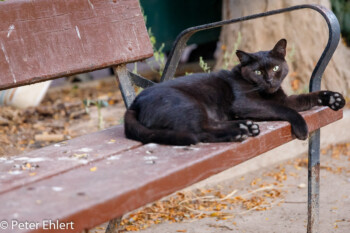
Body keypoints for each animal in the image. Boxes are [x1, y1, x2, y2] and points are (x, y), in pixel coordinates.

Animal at [123, 39, 344, 146]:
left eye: (275, 68)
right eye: (257, 72)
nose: (269, 80)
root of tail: (135, 103)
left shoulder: (284, 99)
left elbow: (305, 98)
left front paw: (333, 97)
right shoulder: (246, 103)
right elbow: (285, 110)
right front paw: (302, 127)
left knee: (208, 125)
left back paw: (246, 127)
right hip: (189, 104)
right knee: (199, 132)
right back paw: (238, 133)